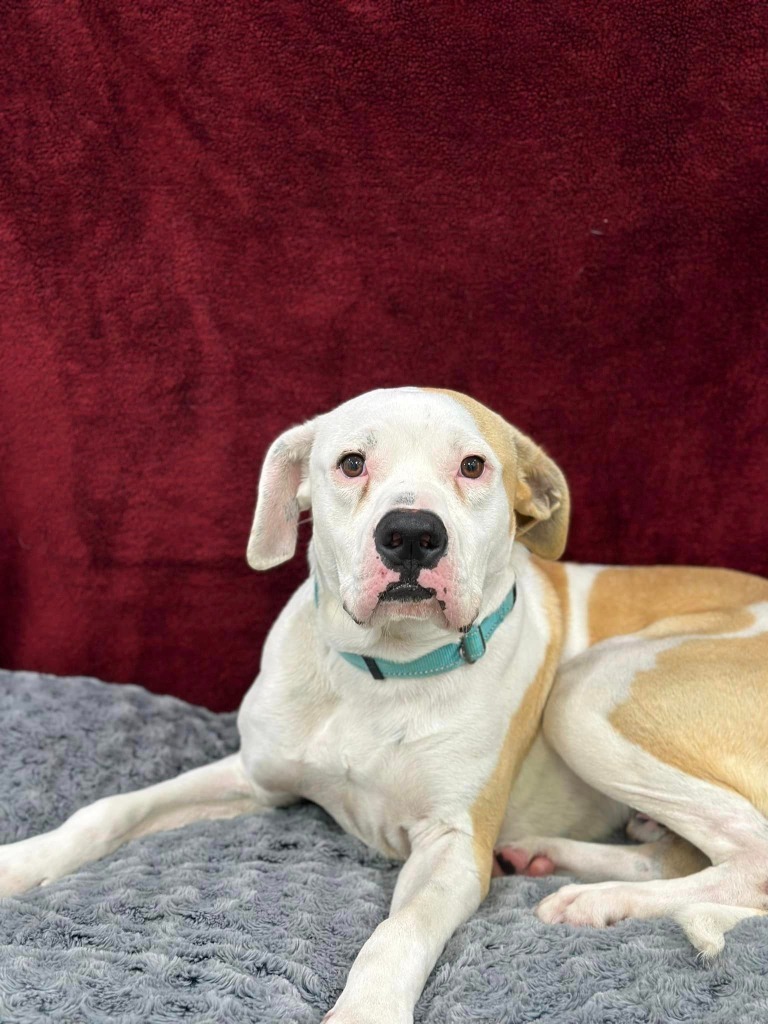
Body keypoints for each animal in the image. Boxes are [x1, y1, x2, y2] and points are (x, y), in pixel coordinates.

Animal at [1, 387, 768, 1019]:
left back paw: (599, 901)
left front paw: (363, 1012)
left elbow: (396, 934)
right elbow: (109, 810)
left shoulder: (452, 850)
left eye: (472, 466)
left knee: (751, 857)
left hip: (590, 689)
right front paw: (19, 863)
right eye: (350, 463)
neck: (382, 675)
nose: (411, 534)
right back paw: (549, 858)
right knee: (686, 854)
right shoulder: (254, 776)